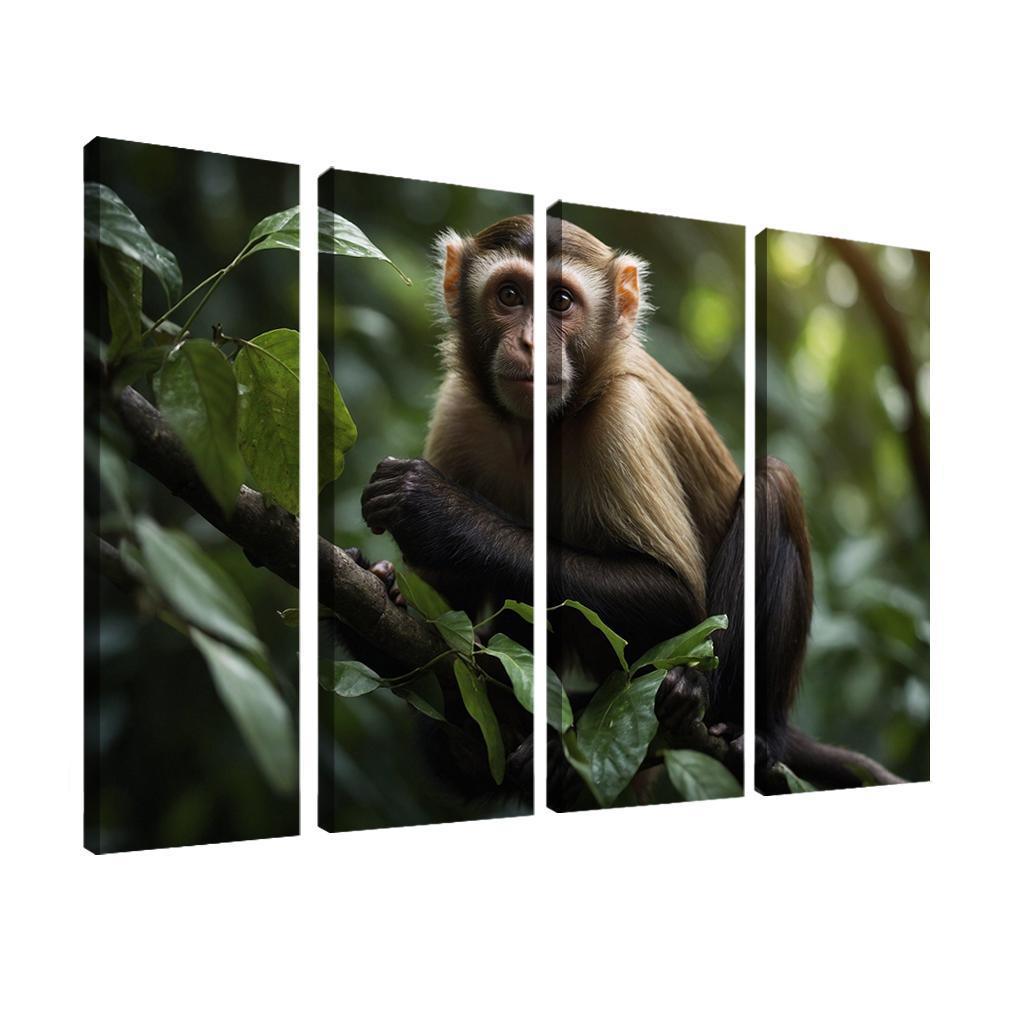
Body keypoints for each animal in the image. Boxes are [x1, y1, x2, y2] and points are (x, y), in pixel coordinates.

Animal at [358, 213, 902, 803]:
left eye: (560, 302)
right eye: (509, 295)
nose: (532, 343)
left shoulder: (622, 420)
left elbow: (674, 594)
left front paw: (437, 511)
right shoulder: (461, 411)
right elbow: (443, 611)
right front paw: (387, 583)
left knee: (772, 485)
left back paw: (734, 721)